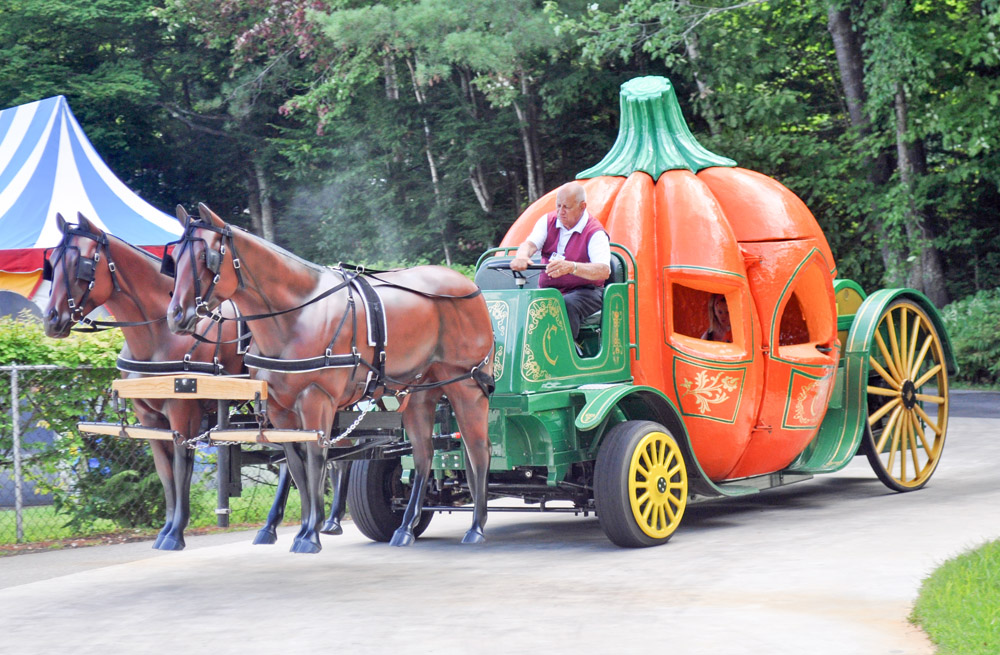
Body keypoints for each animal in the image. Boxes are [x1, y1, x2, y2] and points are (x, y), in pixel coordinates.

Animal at [43, 214, 354, 548]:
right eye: (53, 263)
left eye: (81, 264)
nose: (51, 319)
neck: (159, 335)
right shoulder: (149, 419)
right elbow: (165, 473)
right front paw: (167, 528)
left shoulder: (184, 413)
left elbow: (181, 469)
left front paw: (175, 532)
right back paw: (278, 525)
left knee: (330, 455)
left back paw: (326, 521)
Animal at [166, 204, 498, 552]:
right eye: (174, 258)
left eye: (205, 257)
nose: (176, 316)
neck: (295, 315)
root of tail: (468, 285)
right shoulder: (280, 411)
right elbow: (296, 466)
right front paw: (304, 528)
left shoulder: (317, 400)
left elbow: (316, 460)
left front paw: (310, 534)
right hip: (420, 391)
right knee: (424, 455)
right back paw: (406, 527)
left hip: (466, 385)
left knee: (478, 449)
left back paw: (476, 526)